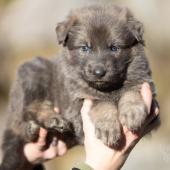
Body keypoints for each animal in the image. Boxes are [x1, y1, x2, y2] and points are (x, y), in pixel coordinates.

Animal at [0, 4, 159, 170]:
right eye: (85, 48)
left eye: (114, 48)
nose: (99, 72)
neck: (108, 88)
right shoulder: (77, 104)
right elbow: (101, 102)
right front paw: (108, 127)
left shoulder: (148, 89)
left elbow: (132, 91)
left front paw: (132, 112)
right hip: (34, 71)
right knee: (27, 112)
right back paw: (48, 121)